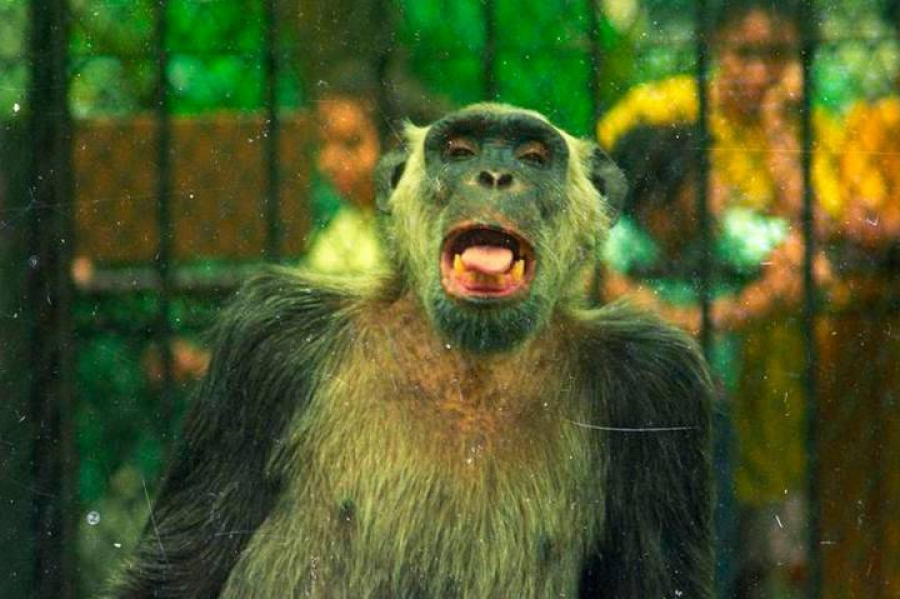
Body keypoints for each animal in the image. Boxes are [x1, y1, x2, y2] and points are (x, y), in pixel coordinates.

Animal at [115, 104, 713, 598]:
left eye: (534, 157)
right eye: (460, 151)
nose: (496, 176)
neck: (467, 366)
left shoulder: (658, 384)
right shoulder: (270, 339)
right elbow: (184, 567)